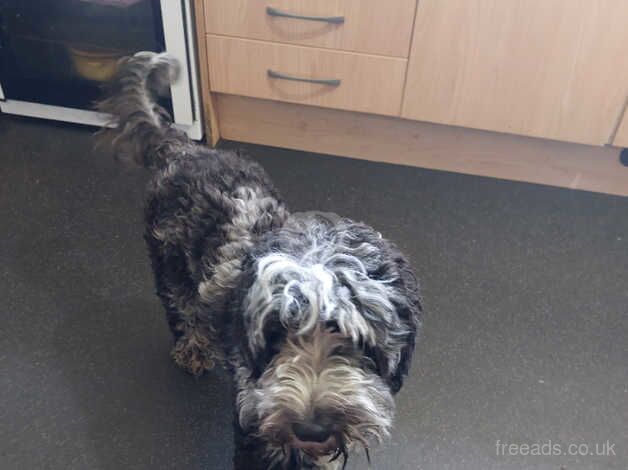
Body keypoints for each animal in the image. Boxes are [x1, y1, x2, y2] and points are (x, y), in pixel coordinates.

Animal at [98, 52, 422, 470]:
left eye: (355, 337)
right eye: (277, 331)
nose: (312, 429)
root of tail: (182, 146)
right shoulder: (256, 428)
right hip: (168, 261)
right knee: (181, 307)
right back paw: (192, 348)